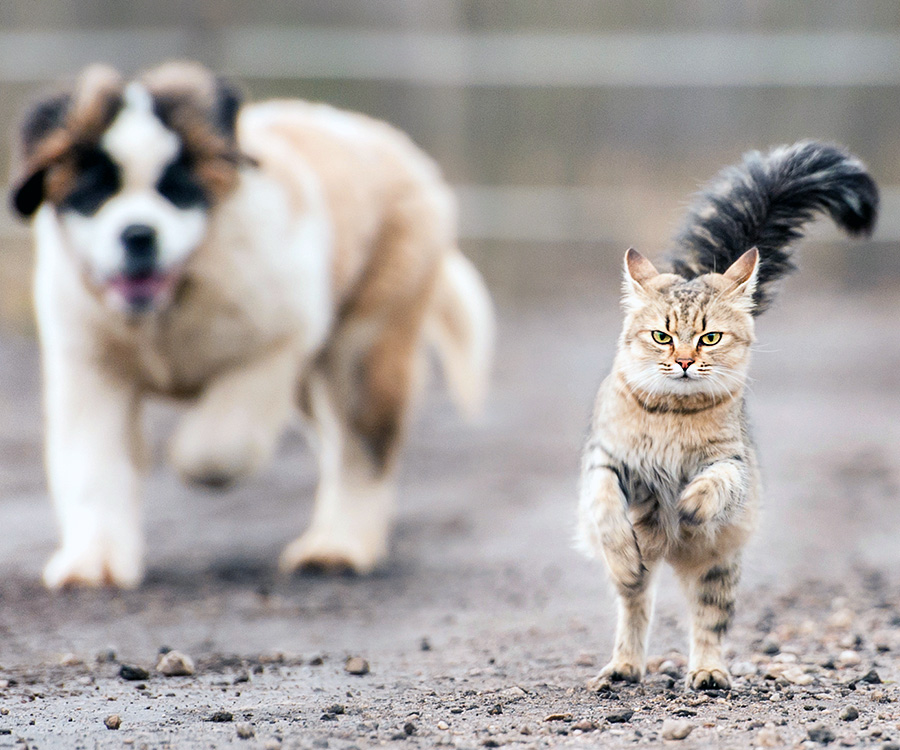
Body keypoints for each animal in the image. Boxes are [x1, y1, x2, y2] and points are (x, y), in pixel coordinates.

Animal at [7, 61, 492, 592]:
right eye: (95, 192)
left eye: (176, 188)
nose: (137, 234)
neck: (170, 305)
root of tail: (386, 139)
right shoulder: (91, 371)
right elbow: (93, 467)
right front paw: (94, 562)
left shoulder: (279, 341)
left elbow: (223, 439)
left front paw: (193, 461)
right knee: (336, 443)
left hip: (364, 352)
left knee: (360, 450)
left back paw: (338, 546)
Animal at [576, 141, 880, 692]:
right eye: (662, 336)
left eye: (709, 337)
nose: (683, 361)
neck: (672, 417)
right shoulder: (606, 460)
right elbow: (608, 505)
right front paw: (629, 542)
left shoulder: (731, 461)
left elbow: (715, 483)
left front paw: (690, 507)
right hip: (647, 578)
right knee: (635, 605)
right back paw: (624, 665)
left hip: (719, 566)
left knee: (708, 624)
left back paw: (709, 673)